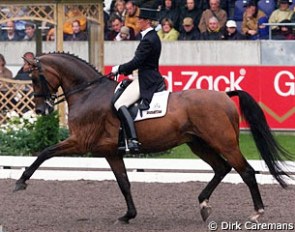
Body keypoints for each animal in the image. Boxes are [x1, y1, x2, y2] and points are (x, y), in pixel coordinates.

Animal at [15, 52, 292, 223]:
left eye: (34, 77)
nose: (41, 110)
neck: (88, 93)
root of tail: (224, 95)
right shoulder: (110, 152)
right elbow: (124, 183)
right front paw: (128, 215)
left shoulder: (81, 142)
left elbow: (45, 152)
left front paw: (21, 182)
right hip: (198, 144)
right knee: (222, 168)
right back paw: (203, 204)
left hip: (223, 142)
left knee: (246, 171)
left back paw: (256, 213)